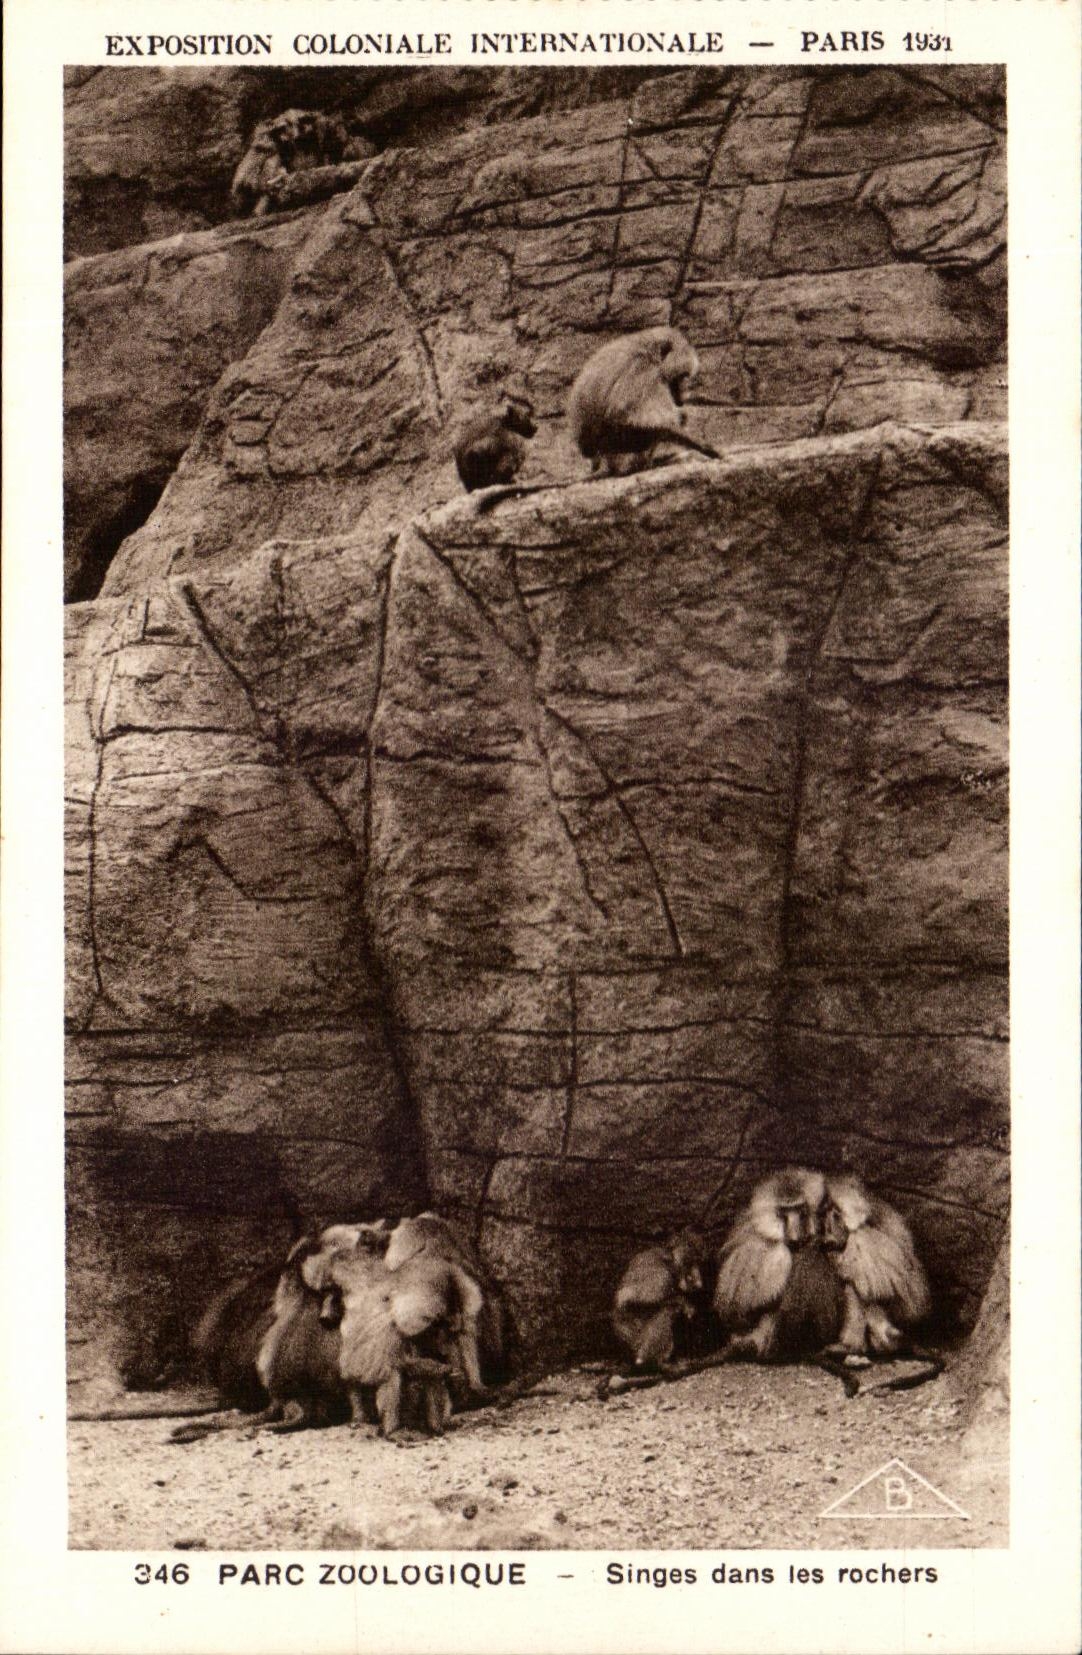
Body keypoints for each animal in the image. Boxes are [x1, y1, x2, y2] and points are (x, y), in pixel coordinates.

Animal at [567, 326, 721, 477]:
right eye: (681, 377)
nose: (680, 400)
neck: (650, 354)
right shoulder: (644, 373)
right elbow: (631, 418)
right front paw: (705, 447)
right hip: (619, 446)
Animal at [612, 1228, 708, 1369]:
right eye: (690, 1262)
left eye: (700, 1262)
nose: (699, 1282)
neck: (669, 1260)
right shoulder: (661, 1276)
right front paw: (683, 1302)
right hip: (637, 1338)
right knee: (667, 1311)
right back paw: (650, 1361)